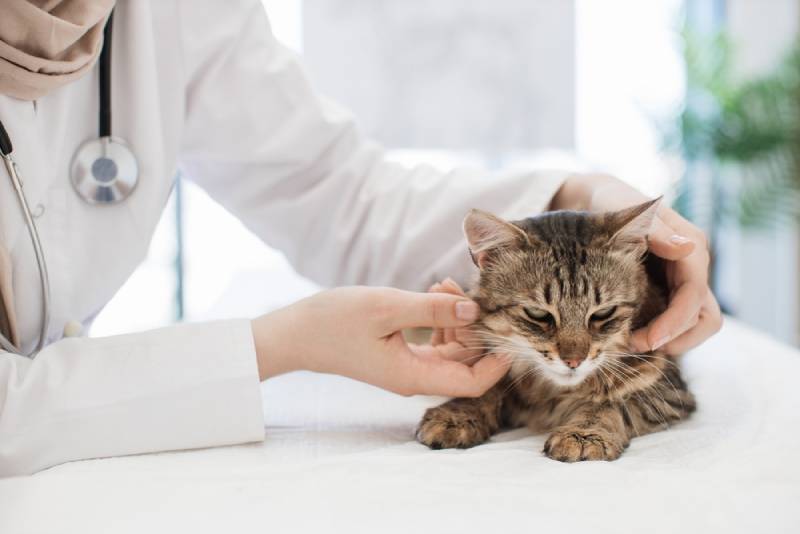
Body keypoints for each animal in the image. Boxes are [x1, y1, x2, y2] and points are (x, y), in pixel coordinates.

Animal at [416, 199, 696, 462]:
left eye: (603, 313)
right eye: (538, 314)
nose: (573, 361)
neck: (548, 391)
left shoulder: (667, 389)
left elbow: (611, 404)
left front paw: (583, 434)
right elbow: (486, 390)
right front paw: (456, 414)